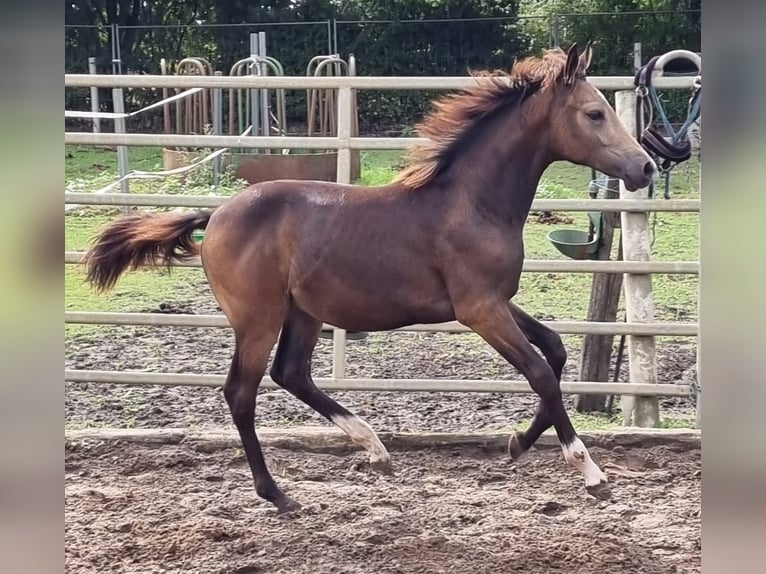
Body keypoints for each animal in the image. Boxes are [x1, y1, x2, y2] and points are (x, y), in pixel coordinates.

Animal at [85, 44, 660, 512]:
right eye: (594, 113)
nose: (647, 167)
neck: (472, 203)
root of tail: (216, 214)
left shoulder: (493, 301)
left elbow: (556, 353)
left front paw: (518, 442)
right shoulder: (479, 309)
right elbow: (540, 372)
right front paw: (590, 472)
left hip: (303, 313)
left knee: (291, 374)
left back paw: (374, 448)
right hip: (258, 317)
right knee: (242, 392)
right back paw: (279, 493)